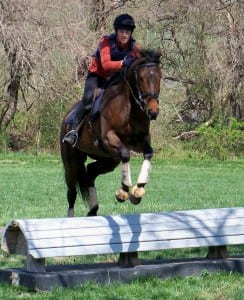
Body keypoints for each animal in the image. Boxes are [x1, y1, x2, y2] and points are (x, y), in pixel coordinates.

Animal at [59, 49, 162, 218]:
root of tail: (67, 115)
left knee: (90, 172)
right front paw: (123, 192)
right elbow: (126, 153)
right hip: (71, 161)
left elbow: (148, 153)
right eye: (141, 78)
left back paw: (93, 209)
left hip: (109, 159)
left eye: (160, 76)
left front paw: (138, 191)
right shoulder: (109, 138)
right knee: (71, 192)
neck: (128, 108)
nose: (153, 112)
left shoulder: (141, 140)